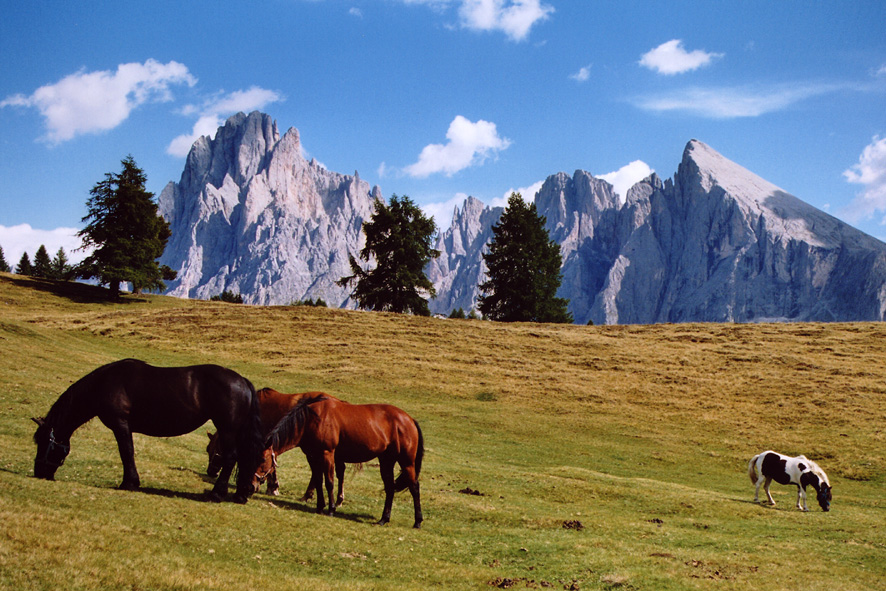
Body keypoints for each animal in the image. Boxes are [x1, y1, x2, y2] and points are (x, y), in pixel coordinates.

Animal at [32, 359, 264, 503]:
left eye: (44, 442)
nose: (39, 473)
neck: (105, 383)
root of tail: (242, 381)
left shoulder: (121, 424)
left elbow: (126, 452)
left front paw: (129, 483)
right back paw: (239, 495)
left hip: (227, 429)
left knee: (231, 458)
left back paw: (217, 493)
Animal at [265, 394, 424, 528]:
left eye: (263, 459)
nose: (258, 482)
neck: (312, 419)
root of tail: (409, 420)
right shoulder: (313, 456)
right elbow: (318, 481)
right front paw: (319, 507)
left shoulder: (327, 454)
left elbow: (329, 482)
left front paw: (331, 509)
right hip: (387, 461)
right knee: (390, 488)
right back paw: (383, 519)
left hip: (407, 463)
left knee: (414, 487)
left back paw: (417, 521)